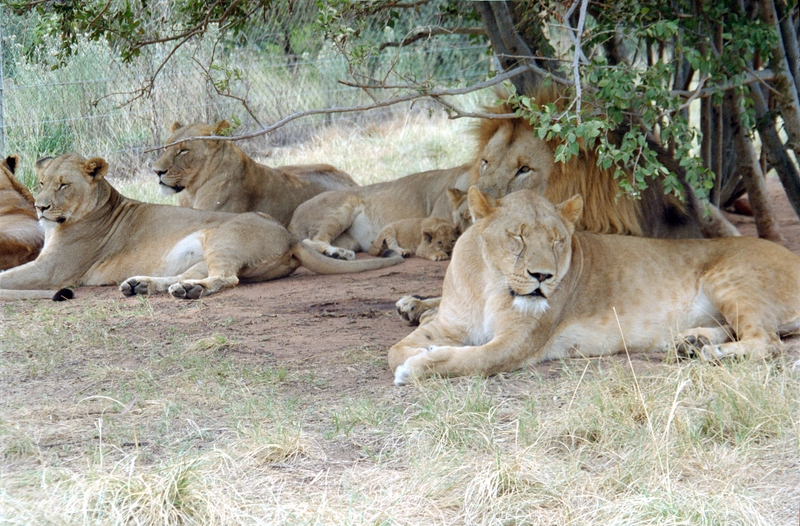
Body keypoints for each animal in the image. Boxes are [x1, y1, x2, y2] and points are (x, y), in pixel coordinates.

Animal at [0, 154, 404, 302]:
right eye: (40, 183)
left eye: (63, 185)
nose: (40, 207)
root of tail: (290, 235)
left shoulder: (54, 270)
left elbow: (7, 275)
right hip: (198, 255)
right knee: (193, 276)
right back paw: (143, 285)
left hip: (221, 238)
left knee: (226, 278)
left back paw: (187, 292)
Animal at [390, 188, 800, 386]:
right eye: (518, 237)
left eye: (558, 241)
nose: (543, 277)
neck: (491, 283)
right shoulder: (451, 324)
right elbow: (397, 350)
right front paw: (418, 344)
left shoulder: (518, 343)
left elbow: (472, 360)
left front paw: (419, 367)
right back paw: (692, 342)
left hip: (729, 278)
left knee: (768, 342)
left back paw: (711, 353)